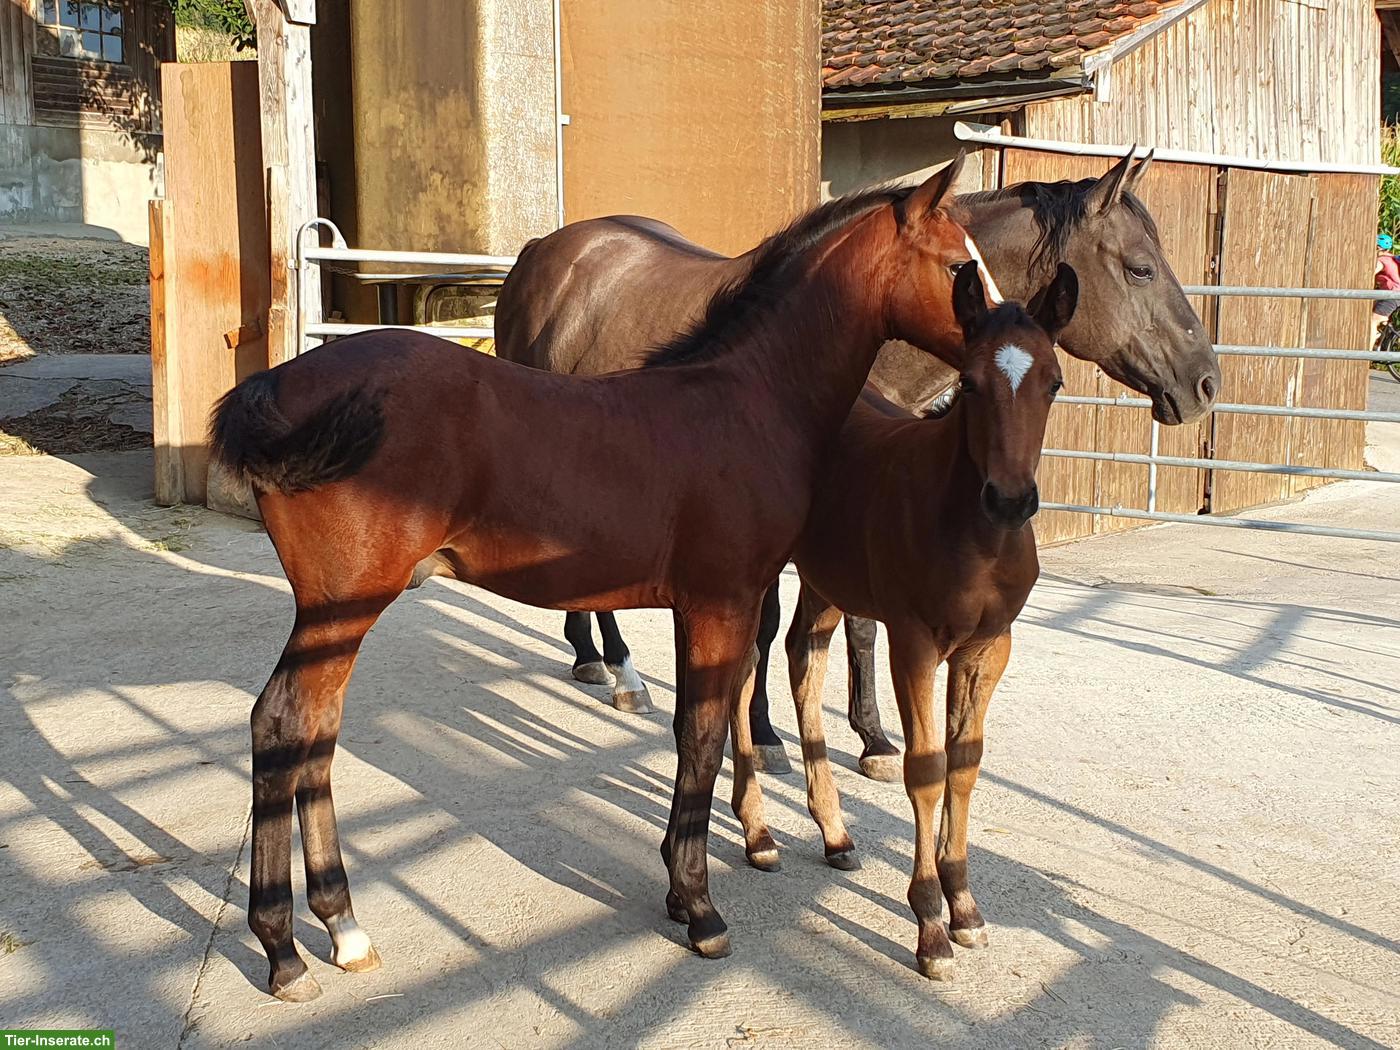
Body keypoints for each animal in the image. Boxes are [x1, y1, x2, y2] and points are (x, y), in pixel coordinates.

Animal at [208, 163, 979, 1002]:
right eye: (959, 267)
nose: (1009, 342)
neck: (747, 400)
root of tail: (278, 386)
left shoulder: (704, 606)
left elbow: (698, 732)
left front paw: (684, 888)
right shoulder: (722, 603)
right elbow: (703, 736)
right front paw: (701, 909)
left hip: (337, 618)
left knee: (314, 734)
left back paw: (343, 926)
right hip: (340, 608)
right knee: (282, 725)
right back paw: (284, 950)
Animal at [494, 148, 1221, 776]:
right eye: (1139, 267)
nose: (1206, 382)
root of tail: (543, 250)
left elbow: (858, 624)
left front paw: (871, 736)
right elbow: (772, 629)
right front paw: (766, 733)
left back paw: (589, 655)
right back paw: (621, 670)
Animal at [727, 260, 1076, 981]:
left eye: (1053, 381)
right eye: (969, 382)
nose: (1009, 500)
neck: (973, 534)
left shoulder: (988, 648)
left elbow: (965, 764)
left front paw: (965, 907)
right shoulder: (912, 641)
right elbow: (926, 768)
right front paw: (930, 928)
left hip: (829, 580)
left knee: (803, 659)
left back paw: (834, 833)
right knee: (745, 676)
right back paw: (759, 833)